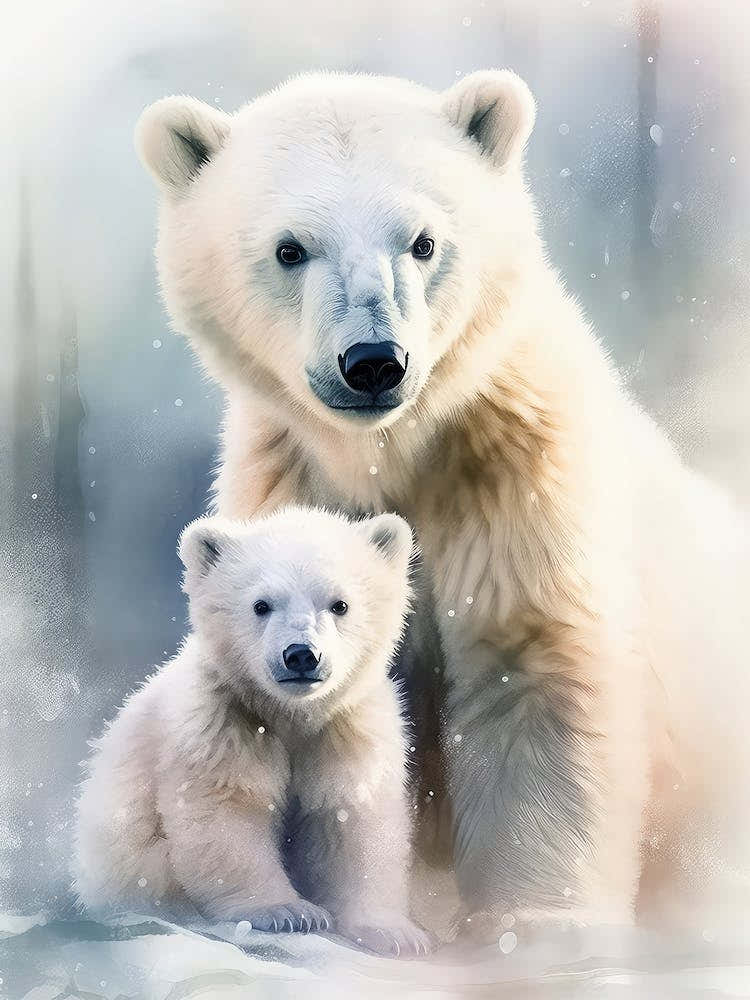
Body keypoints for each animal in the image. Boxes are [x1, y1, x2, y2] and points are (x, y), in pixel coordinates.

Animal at [73, 506, 432, 957]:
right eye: (261, 605)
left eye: (340, 604)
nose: (301, 655)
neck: (291, 715)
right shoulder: (221, 724)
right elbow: (227, 813)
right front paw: (289, 912)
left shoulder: (346, 730)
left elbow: (354, 818)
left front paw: (396, 933)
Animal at [134, 71, 750, 937]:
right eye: (290, 249)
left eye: (423, 242)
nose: (372, 361)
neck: (387, 453)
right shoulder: (289, 485)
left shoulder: (513, 483)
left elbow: (531, 675)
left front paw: (533, 923)